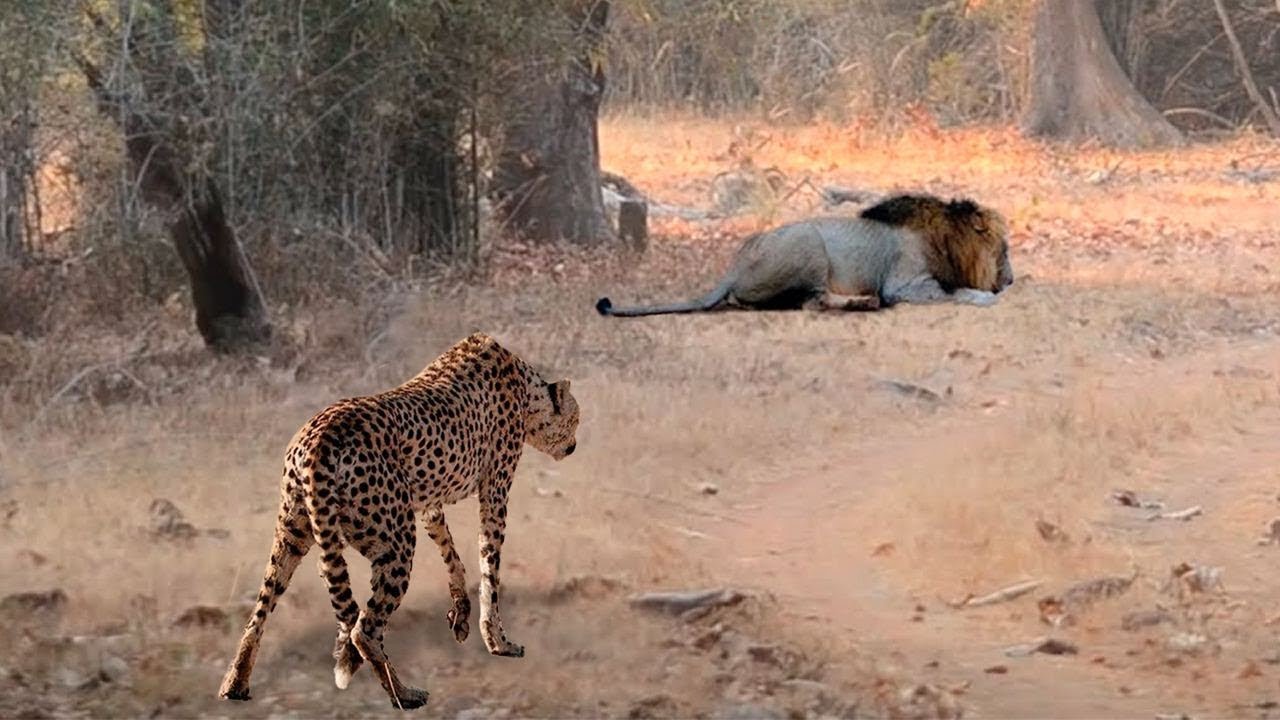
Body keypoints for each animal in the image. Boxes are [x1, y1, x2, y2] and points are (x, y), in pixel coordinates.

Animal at [594, 193, 1013, 317]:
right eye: (1004, 251)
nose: (1011, 280)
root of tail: (734, 266)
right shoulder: (904, 284)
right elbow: (953, 292)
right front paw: (983, 296)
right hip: (809, 244)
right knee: (814, 301)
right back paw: (863, 303)